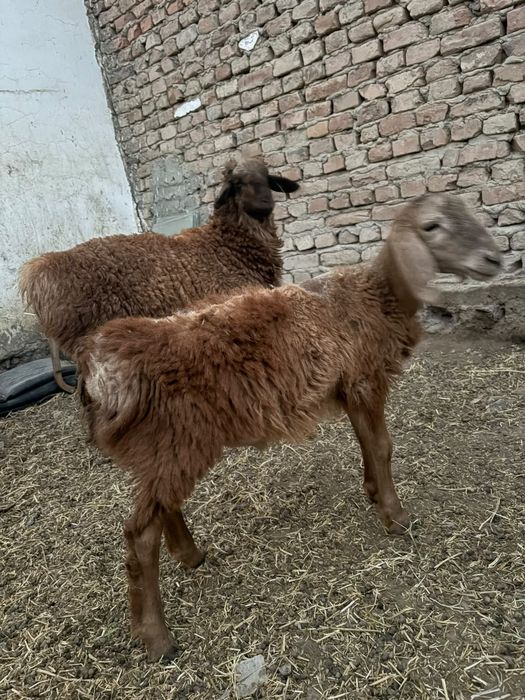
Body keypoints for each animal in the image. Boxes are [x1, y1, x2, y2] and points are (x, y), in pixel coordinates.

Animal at [77, 193, 502, 661]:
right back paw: (156, 637)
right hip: (176, 441)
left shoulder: (350, 387)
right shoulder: (366, 379)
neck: (376, 294)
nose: (494, 259)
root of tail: (100, 371)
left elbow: (366, 443)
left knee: (161, 507)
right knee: (139, 535)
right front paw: (396, 517)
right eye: (432, 227)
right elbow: (383, 445)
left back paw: (190, 556)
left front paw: (373, 491)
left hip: (164, 446)